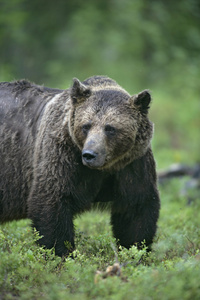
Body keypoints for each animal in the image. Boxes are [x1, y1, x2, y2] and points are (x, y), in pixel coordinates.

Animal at [0, 76, 159, 256]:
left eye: (110, 128)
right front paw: (62, 253)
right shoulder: (62, 154)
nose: (90, 154)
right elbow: (52, 202)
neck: (104, 168)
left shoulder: (132, 164)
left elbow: (136, 208)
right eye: (86, 126)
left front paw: (135, 251)